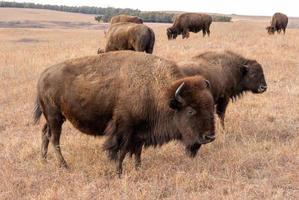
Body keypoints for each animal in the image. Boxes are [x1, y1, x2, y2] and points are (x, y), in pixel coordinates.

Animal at [34, 50, 217, 176]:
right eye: (191, 110)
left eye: (211, 107)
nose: (209, 136)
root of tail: (43, 75)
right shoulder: (124, 129)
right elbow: (120, 152)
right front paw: (119, 173)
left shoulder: (140, 132)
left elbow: (137, 152)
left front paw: (138, 169)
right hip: (55, 116)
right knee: (54, 139)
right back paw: (64, 165)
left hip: (54, 118)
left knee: (45, 133)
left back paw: (44, 160)